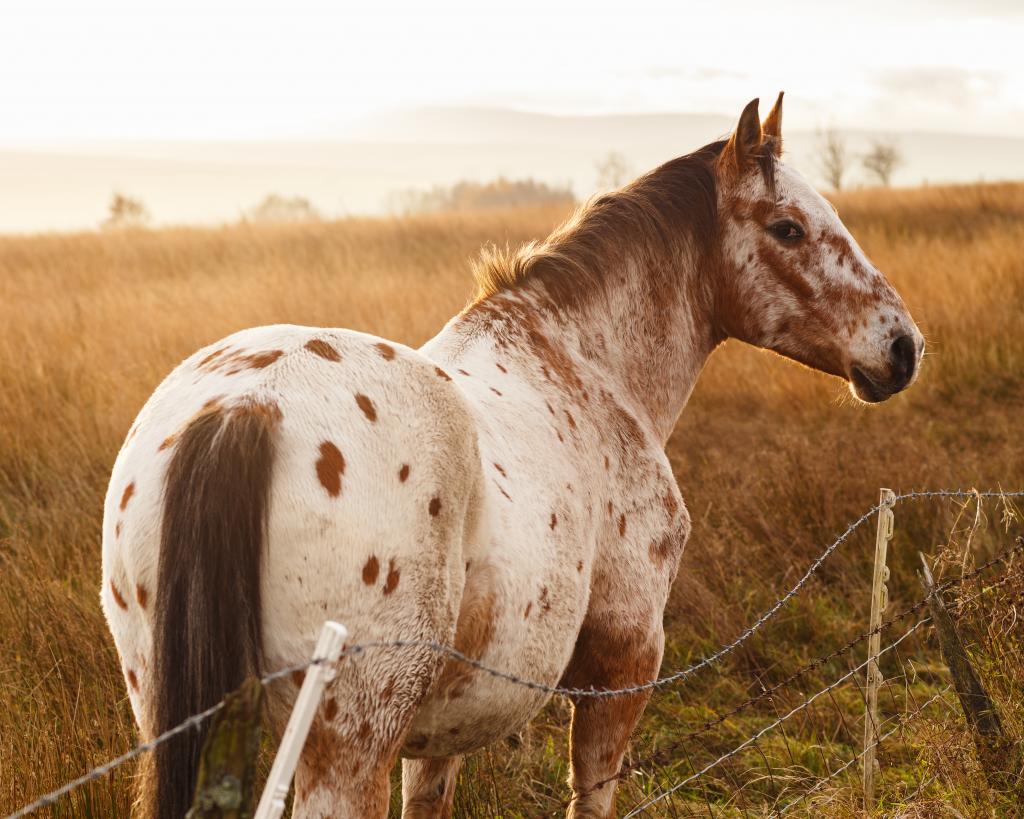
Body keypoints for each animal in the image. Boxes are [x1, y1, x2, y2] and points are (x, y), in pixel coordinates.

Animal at [101, 93, 923, 818]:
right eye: (788, 228)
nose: (902, 346)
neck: (585, 363)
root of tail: (251, 405)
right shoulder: (623, 663)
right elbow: (592, 797)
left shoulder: (442, 727)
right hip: (345, 751)